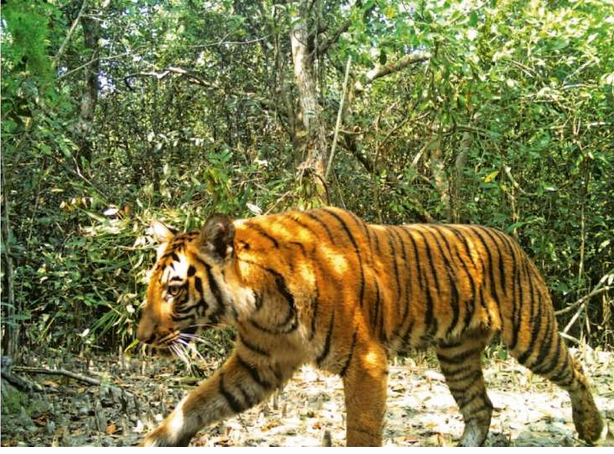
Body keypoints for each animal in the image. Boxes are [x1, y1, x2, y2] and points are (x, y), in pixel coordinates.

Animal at [137, 207, 604, 446]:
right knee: (480, 406)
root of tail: (511, 239)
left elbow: (361, 430)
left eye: (174, 290)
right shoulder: (258, 364)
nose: (141, 338)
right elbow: (197, 403)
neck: (258, 304)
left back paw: (591, 427)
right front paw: (156, 440)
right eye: (151, 287)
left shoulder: (364, 361)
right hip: (457, 354)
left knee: (576, 371)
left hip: (530, 335)